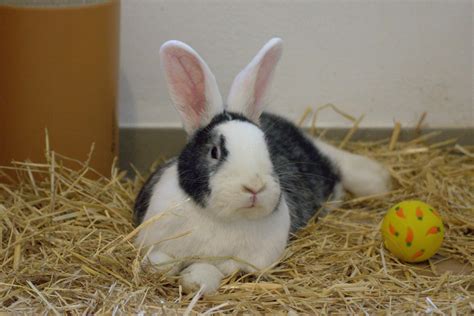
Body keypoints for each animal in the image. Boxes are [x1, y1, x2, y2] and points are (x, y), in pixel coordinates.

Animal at [133, 38, 392, 296]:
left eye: (267, 147)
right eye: (215, 151)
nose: (254, 187)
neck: (220, 219)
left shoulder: (243, 262)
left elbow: (213, 269)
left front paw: (194, 279)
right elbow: (159, 259)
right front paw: (156, 268)